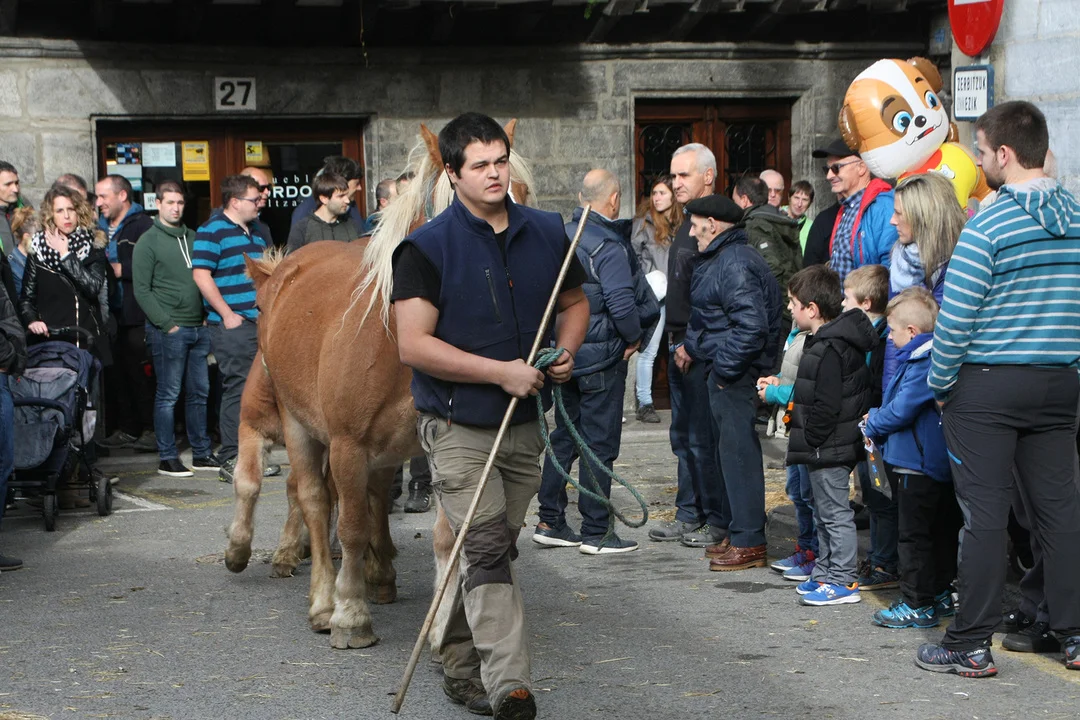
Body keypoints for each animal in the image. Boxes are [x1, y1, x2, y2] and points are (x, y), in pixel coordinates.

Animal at [223, 120, 536, 650]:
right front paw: (350, 614)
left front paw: (441, 625)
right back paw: (323, 600)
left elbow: (448, 537)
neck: (395, 336)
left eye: (524, 193)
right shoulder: (347, 445)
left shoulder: (449, 447)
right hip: (301, 428)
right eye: (470, 197)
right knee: (313, 500)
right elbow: (348, 526)